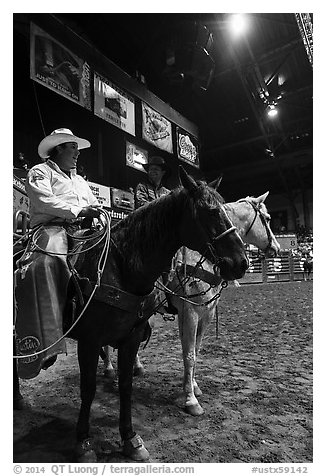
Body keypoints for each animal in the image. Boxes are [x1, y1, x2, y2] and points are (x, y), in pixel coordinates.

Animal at [12, 167, 247, 462]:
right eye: (211, 211)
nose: (241, 263)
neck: (121, 266)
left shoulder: (132, 337)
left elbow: (126, 385)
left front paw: (130, 439)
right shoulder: (89, 341)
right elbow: (88, 388)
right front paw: (83, 441)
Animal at [102, 188, 280, 414]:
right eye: (267, 218)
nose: (277, 247)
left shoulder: (207, 313)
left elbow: (195, 349)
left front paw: (194, 386)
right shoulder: (190, 312)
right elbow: (189, 354)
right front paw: (190, 400)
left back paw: (136, 366)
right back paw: (109, 369)